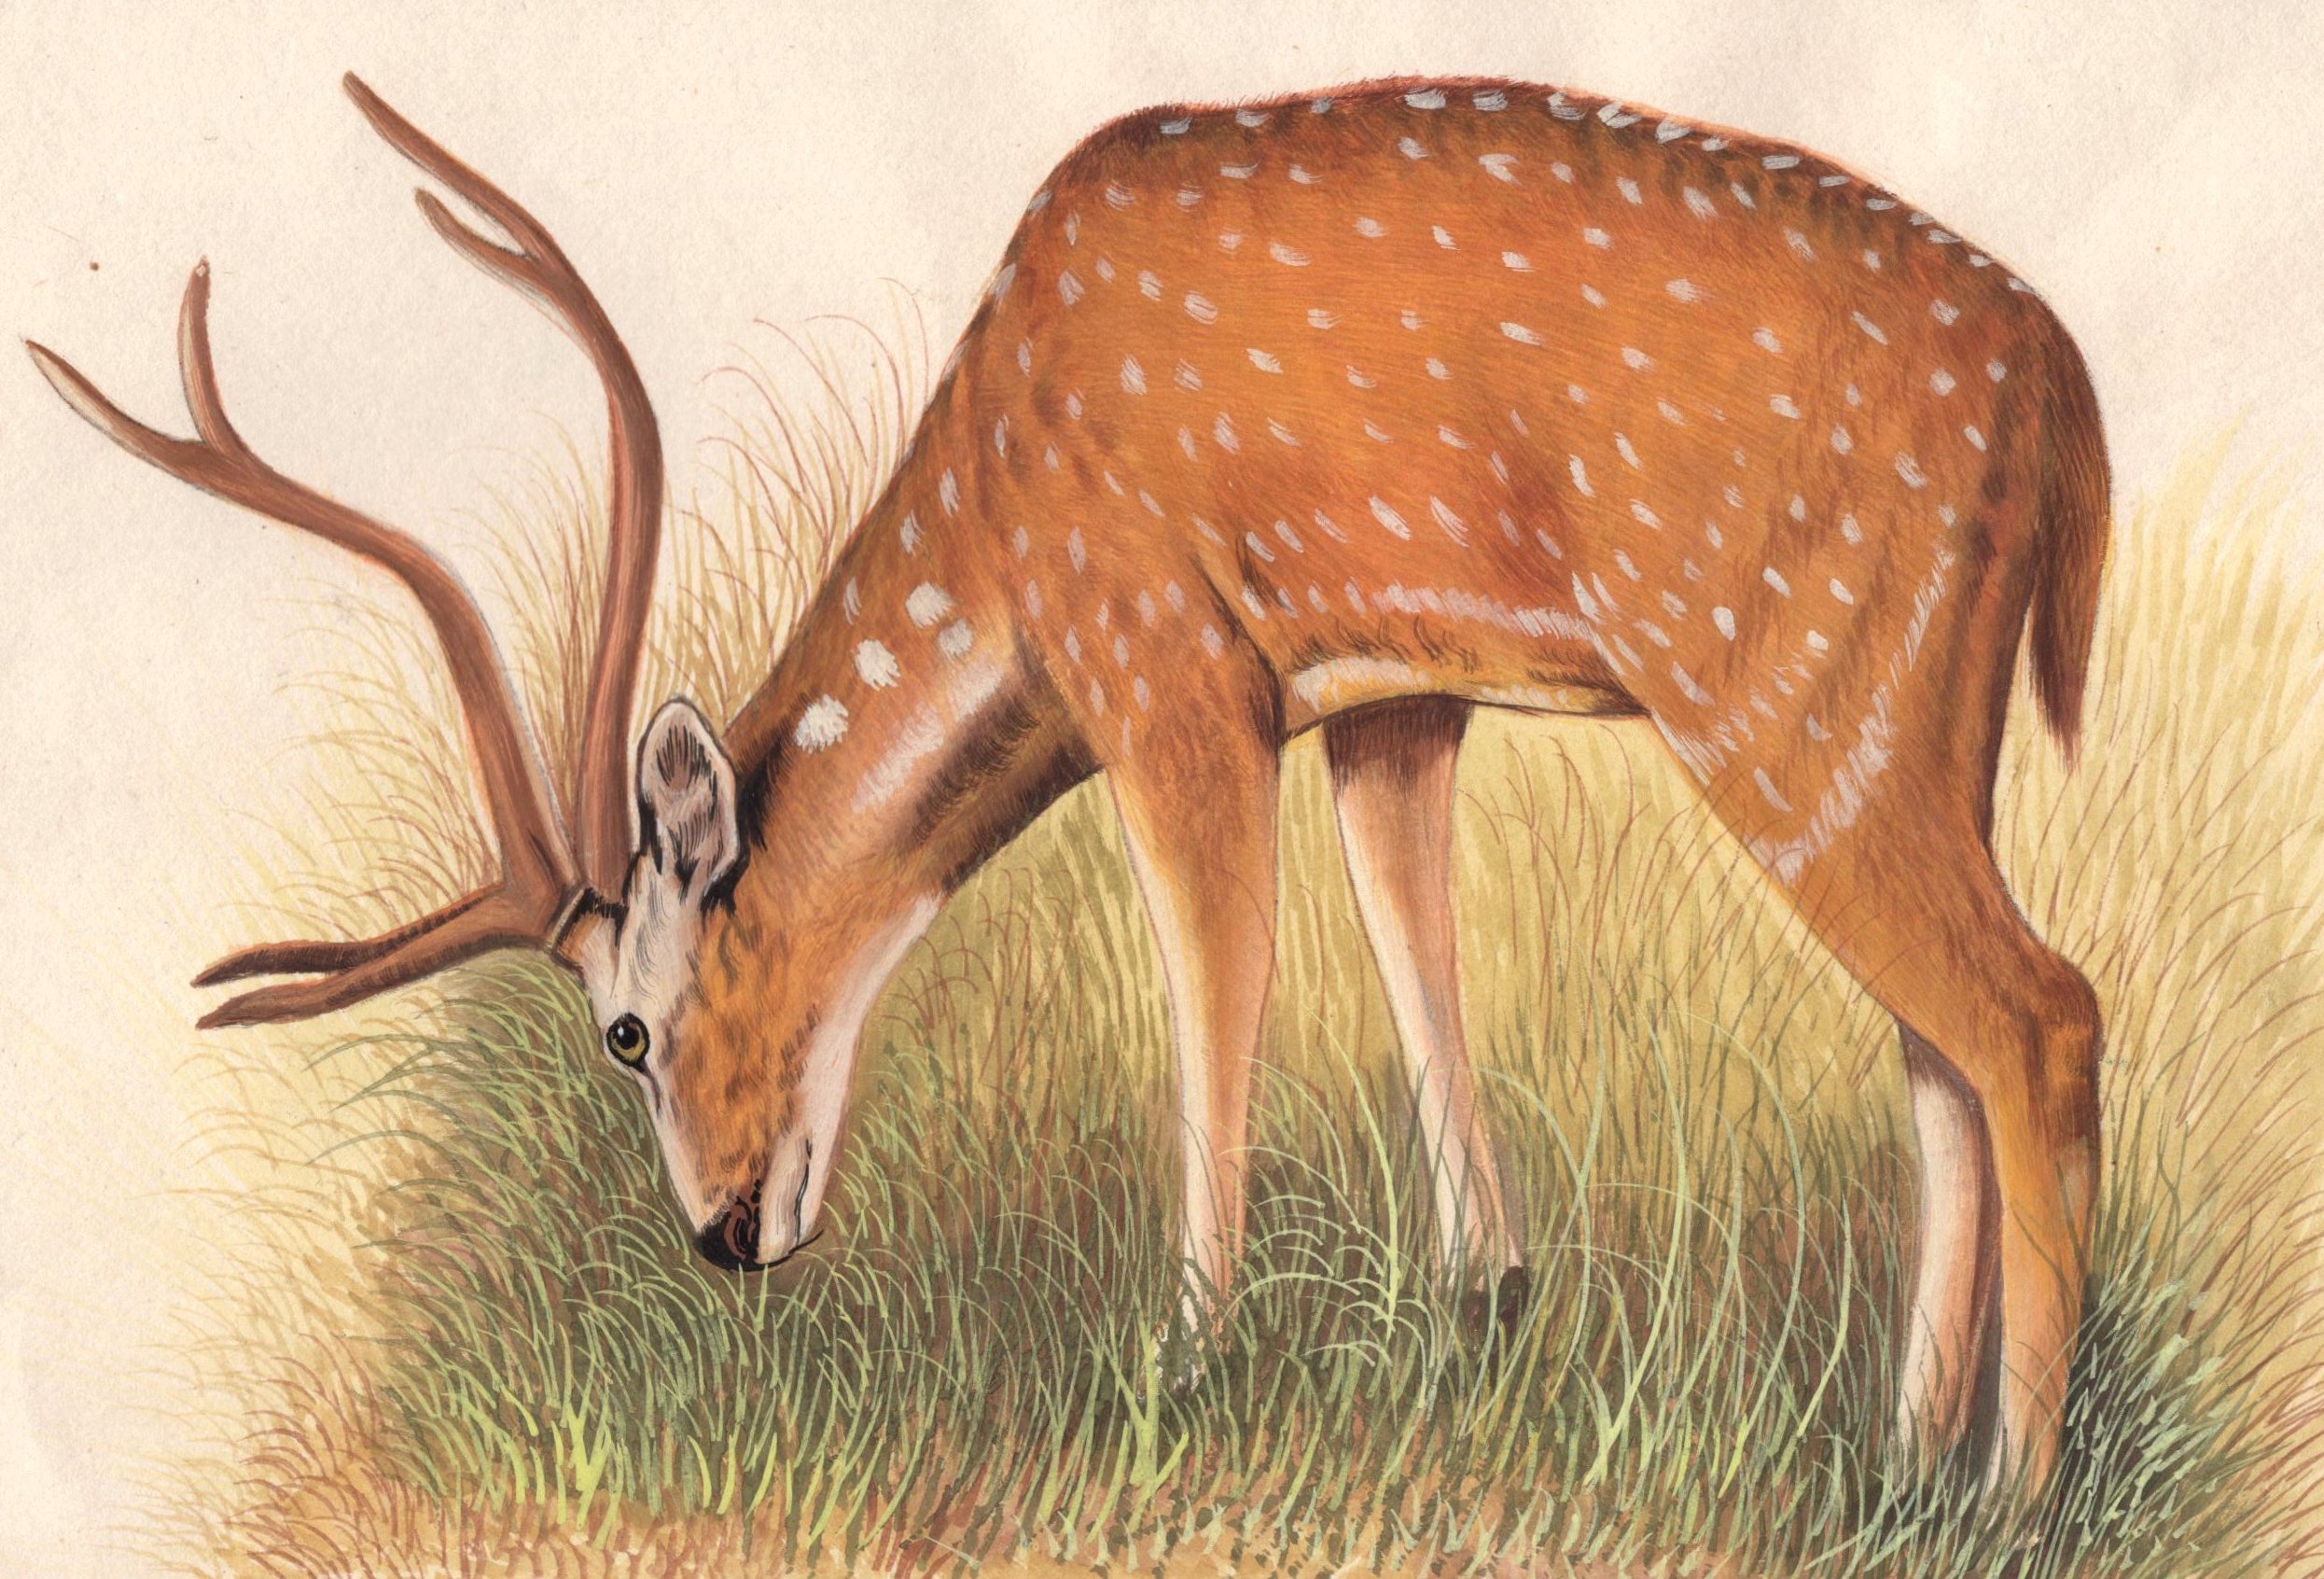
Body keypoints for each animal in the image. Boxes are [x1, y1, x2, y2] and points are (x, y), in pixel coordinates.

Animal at [30, 71, 2109, 1497]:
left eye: (625, 1028)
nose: (721, 1237)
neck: (1004, 532)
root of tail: (2063, 394)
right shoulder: (1393, 695)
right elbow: (1413, 947)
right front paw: (1484, 1305)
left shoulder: (1167, 660)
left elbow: (1220, 987)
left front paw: (1182, 1365)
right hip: (1916, 717)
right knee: (1936, 1043)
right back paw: (1904, 1463)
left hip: (1784, 679)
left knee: (2038, 1015)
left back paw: (2012, 1491)